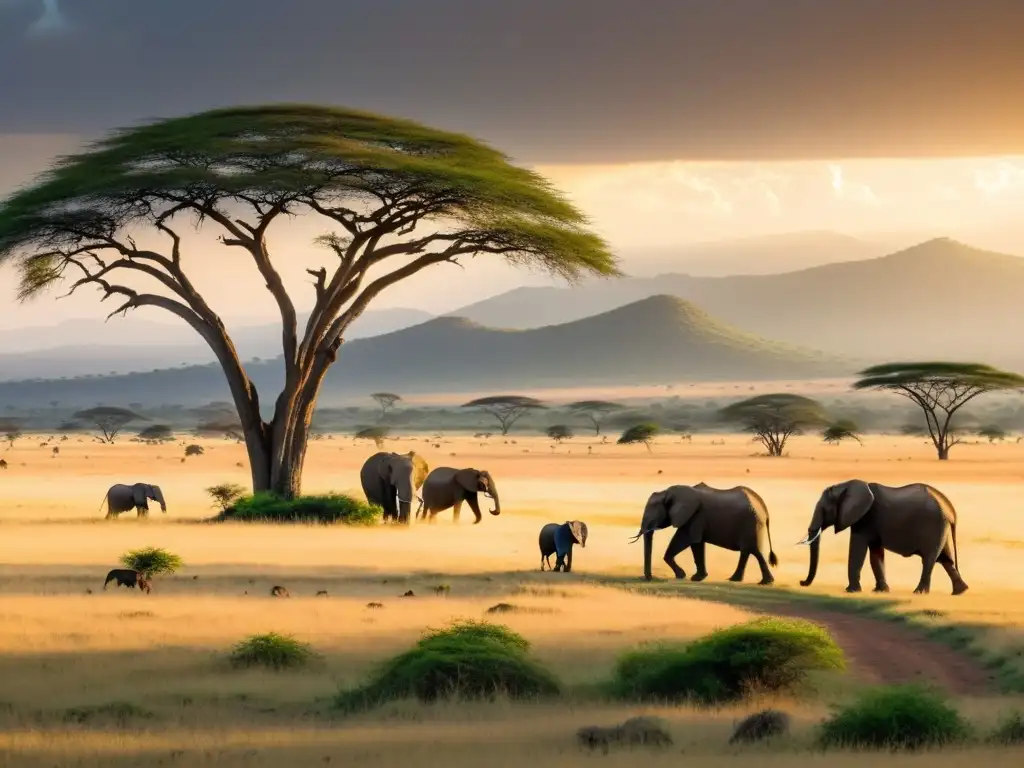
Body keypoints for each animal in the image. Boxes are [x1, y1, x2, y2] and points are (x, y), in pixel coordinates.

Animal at [626, 483, 778, 585]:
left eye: (653, 514)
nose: (649, 578)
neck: (668, 492)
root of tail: (764, 508)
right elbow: (693, 544)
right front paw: (688, 576)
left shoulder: (696, 516)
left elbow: (690, 541)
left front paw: (692, 577)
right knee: (748, 551)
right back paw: (738, 580)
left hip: (751, 524)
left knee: (755, 551)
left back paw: (763, 582)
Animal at [798, 479, 966, 598]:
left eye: (824, 509)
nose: (801, 582)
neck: (845, 485)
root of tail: (950, 509)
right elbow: (876, 554)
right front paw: (880, 591)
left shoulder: (864, 519)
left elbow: (857, 551)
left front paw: (851, 591)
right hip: (941, 528)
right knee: (946, 559)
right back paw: (960, 592)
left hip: (933, 526)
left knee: (929, 560)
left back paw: (919, 592)